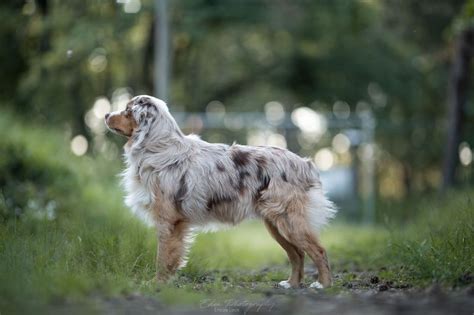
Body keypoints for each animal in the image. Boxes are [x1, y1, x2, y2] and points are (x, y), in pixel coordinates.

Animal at [104, 95, 334, 290]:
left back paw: (323, 284)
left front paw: (157, 283)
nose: (105, 115)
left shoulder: (168, 221)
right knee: (297, 254)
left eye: (127, 111)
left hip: (290, 222)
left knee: (319, 251)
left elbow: (162, 258)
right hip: (276, 225)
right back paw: (292, 283)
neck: (158, 147)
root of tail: (305, 163)